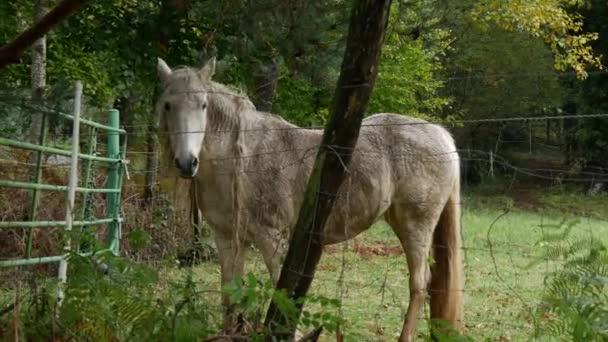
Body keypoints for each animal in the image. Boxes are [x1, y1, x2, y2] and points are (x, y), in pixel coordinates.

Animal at [154, 57, 464, 340]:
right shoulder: (227, 239)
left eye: (203, 105)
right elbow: (231, 295)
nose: (187, 163)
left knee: (419, 285)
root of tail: (440, 135)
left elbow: (283, 294)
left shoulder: (272, 239)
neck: (239, 160)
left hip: (416, 226)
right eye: (168, 105)